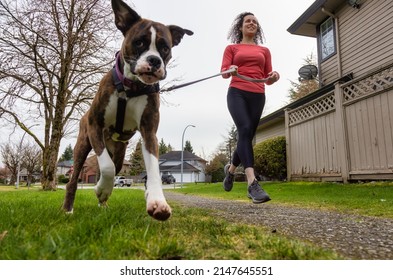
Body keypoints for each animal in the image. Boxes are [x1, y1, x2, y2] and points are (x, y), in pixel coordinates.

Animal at [62, 0, 192, 221]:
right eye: (139, 43)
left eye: (165, 48)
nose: (154, 60)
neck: (131, 87)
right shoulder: (95, 125)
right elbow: (106, 168)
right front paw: (101, 189)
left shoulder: (149, 132)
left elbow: (153, 168)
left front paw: (157, 201)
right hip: (83, 144)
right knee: (74, 179)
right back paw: (69, 209)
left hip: (119, 153)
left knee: (114, 166)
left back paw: (103, 204)